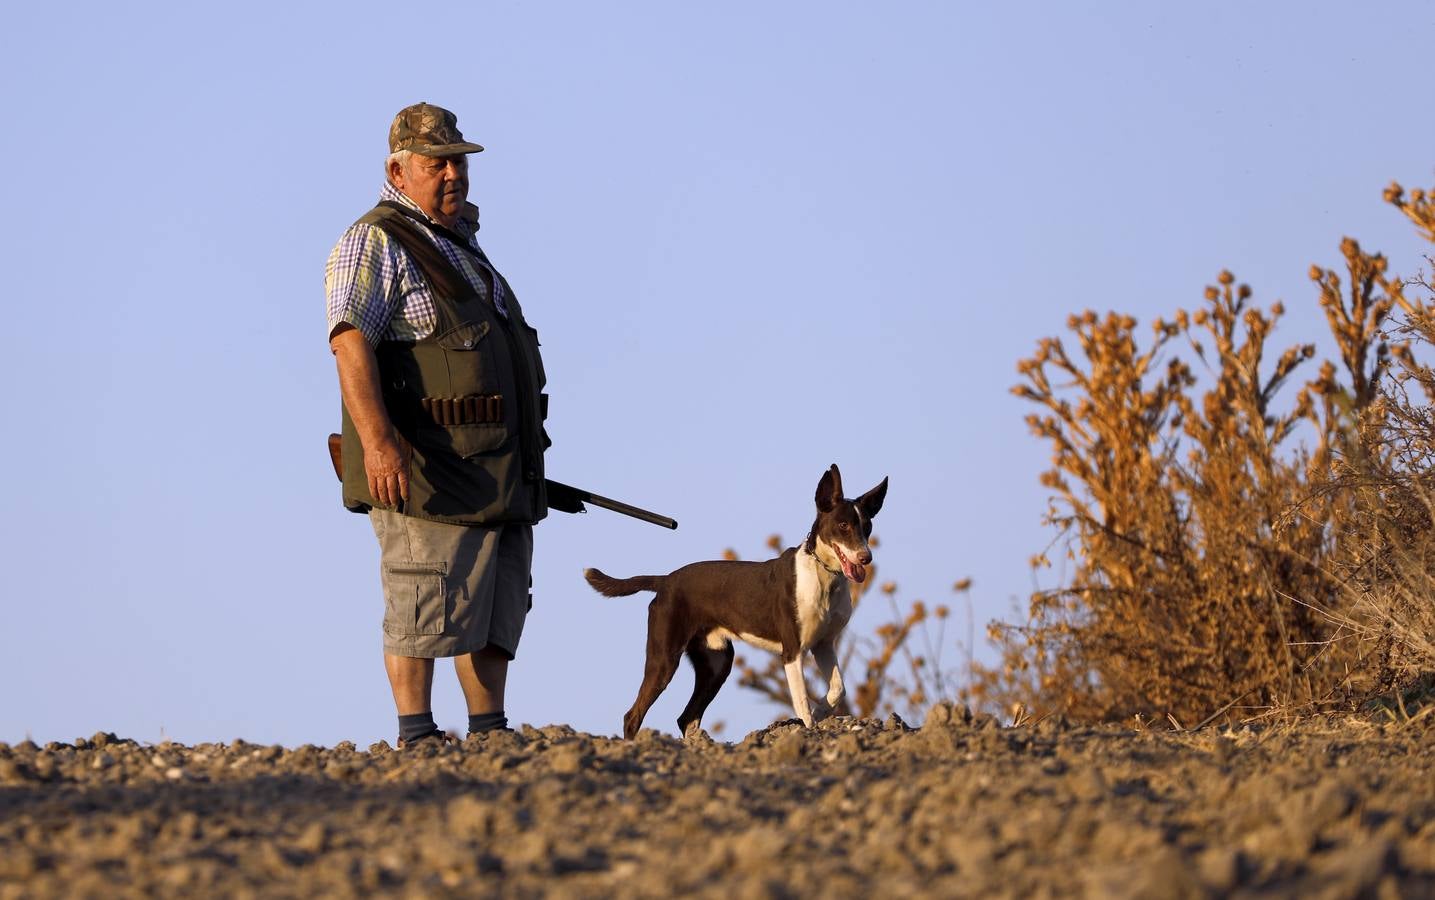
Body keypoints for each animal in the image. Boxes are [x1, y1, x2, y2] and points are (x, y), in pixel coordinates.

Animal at [585, 465, 883, 740]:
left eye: (867, 526)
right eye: (843, 525)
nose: (866, 557)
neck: (823, 574)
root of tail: (666, 580)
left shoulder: (823, 644)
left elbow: (838, 689)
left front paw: (822, 710)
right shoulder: (792, 651)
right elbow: (801, 702)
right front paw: (809, 729)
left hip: (717, 664)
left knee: (687, 717)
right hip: (664, 659)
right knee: (633, 715)